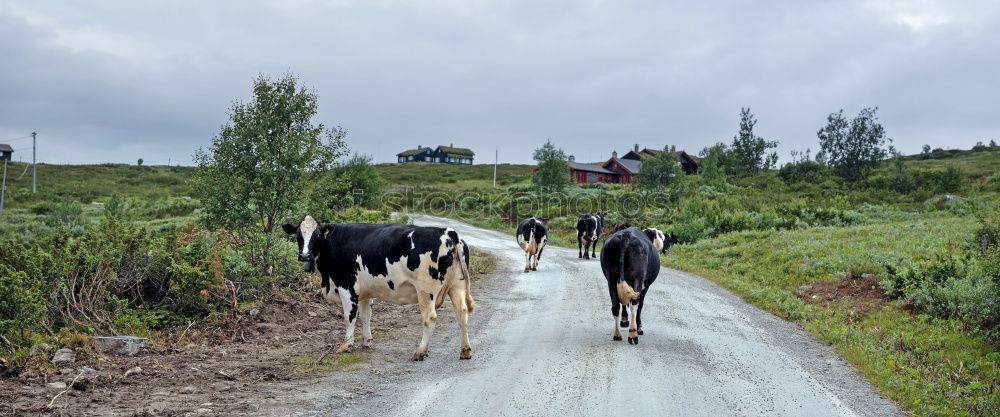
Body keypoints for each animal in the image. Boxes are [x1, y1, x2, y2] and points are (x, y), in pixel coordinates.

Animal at [282, 216, 476, 360]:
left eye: (317, 235)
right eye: (298, 235)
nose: (305, 255)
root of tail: (448, 232)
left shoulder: (347, 287)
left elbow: (349, 317)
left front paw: (346, 345)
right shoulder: (365, 291)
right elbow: (366, 315)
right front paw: (367, 341)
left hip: (425, 289)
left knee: (430, 318)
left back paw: (420, 352)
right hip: (457, 286)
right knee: (462, 313)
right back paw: (465, 350)